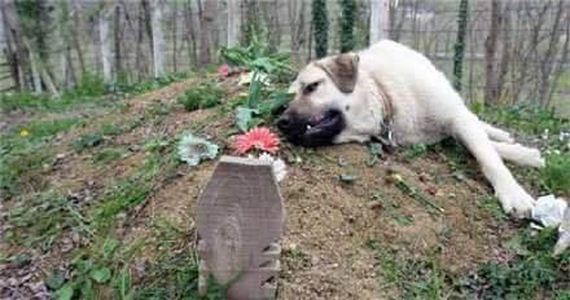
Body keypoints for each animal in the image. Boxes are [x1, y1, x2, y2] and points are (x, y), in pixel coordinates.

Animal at [278, 39, 544, 218]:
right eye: (287, 101)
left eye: (312, 87)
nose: (281, 123)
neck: (386, 95)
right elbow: (483, 148)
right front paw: (525, 155)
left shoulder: (456, 118)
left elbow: (488, 155)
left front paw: (514, 192)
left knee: (477, 121)